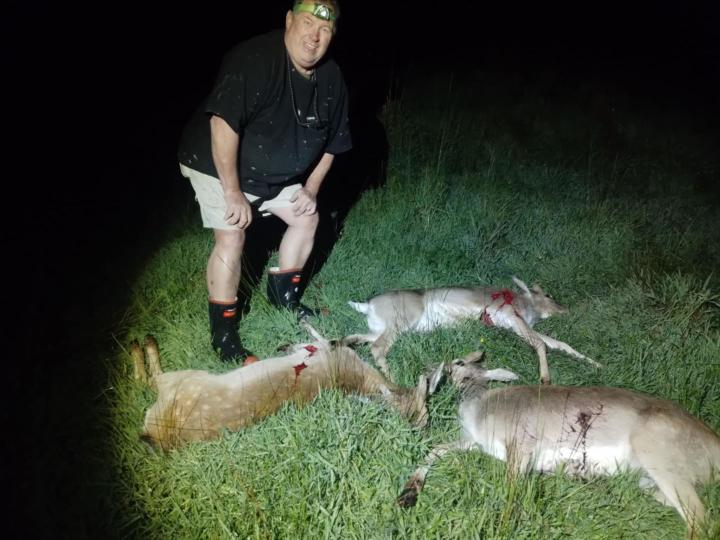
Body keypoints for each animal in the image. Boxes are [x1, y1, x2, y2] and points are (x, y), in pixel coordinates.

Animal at [132, 321, 443, 450]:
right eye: (424, 418)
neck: (361, 382)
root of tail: (162, 435)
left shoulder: (332, 352)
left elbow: (332, 338)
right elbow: (331, 338)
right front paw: (289, 341)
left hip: (185, 380)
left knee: (149, 379)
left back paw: (143, 342)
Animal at [342, 276, 600, 385]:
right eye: (548, 294)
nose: (566, 310)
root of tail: (367, 305)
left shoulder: (517, 324)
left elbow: (560, 343)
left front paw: (597, 364)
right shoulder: (510, 317)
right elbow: (541, 343)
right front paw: (545, 378)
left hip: (380, 328)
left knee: (358, 338)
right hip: (400, 323)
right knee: (377, 348)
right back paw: (394, 380)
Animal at [396, 351, 720, 539]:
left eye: (461, 362)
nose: (433, 365)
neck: (480, 407)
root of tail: (714, 442)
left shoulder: (521, 443)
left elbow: (510, 492)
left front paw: (501, 527)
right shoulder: (477, 443)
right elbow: (435, 449)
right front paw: (407, 495)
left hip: (659, 455)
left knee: (700, 520)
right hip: (649, 479)